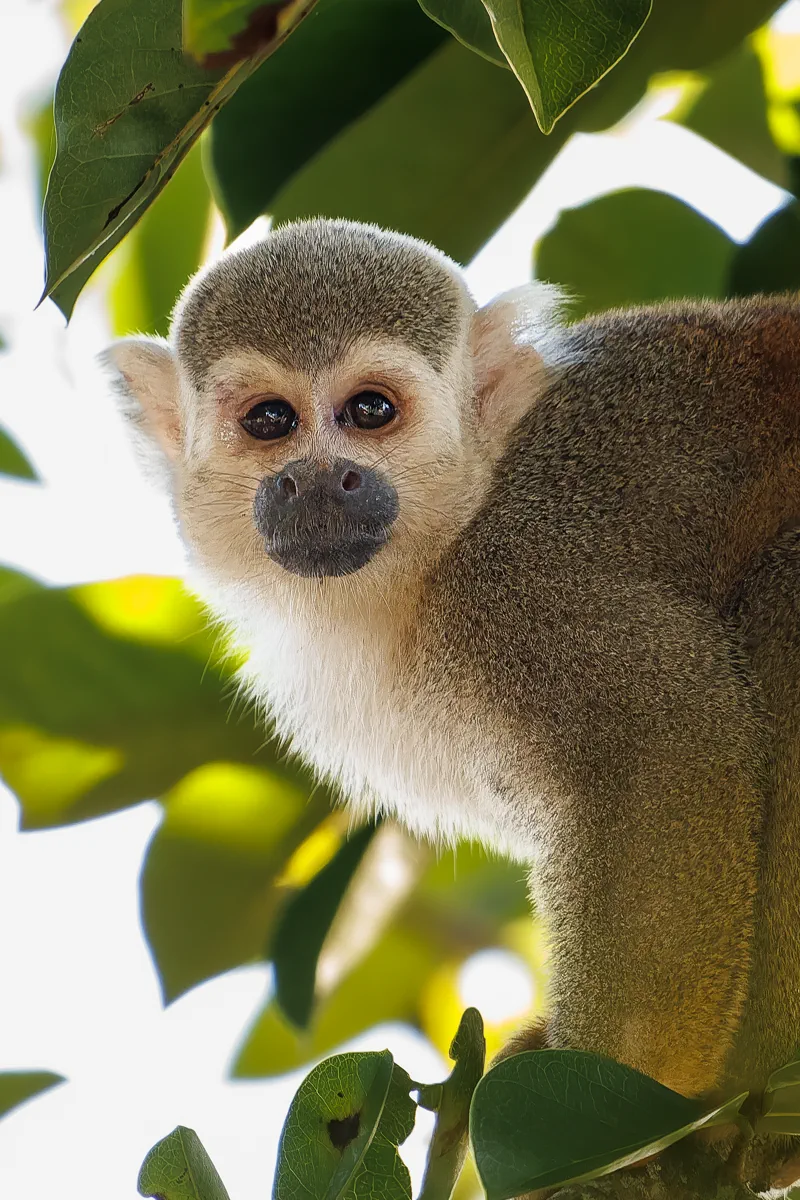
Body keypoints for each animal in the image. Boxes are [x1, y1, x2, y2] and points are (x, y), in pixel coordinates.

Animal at [102, 217, 800, 1196]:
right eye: (270, 421)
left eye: (370, 411)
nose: (320, 479)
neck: (446, 541)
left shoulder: (524, 580)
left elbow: (668, 745)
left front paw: (616, 1098)